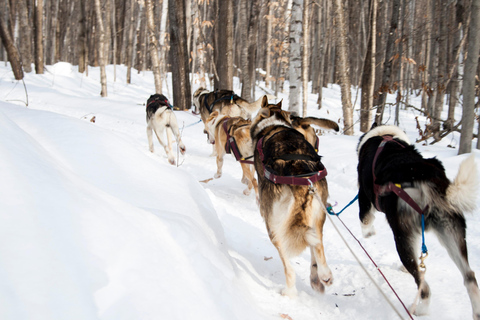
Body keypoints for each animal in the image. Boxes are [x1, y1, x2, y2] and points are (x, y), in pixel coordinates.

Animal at [249, 97, 332, 298]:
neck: (273, 122)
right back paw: (322, 276)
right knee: (317, 243)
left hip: (273, 226)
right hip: (318, 214)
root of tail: (297, 169)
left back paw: (289, 290)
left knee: (289, 265)